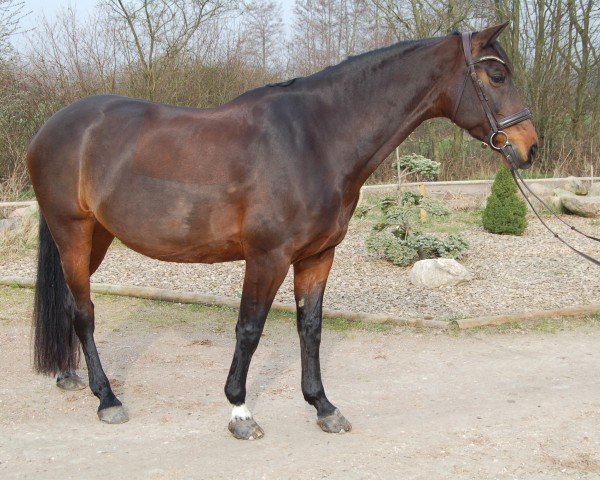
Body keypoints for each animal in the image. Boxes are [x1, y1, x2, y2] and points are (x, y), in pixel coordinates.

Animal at [27, 24, 540, 440]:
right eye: (498, 77)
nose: (529, 147)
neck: (316, 139)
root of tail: (51, 128)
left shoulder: (317, 256)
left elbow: (310, 328)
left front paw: (323, 406)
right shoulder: (267, 257)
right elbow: (249, 329)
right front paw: (239, 411)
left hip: (96, 237)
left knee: (71, 305)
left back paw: (70, 376)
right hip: (73, 234)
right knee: (85, 313)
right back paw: (107, 398)